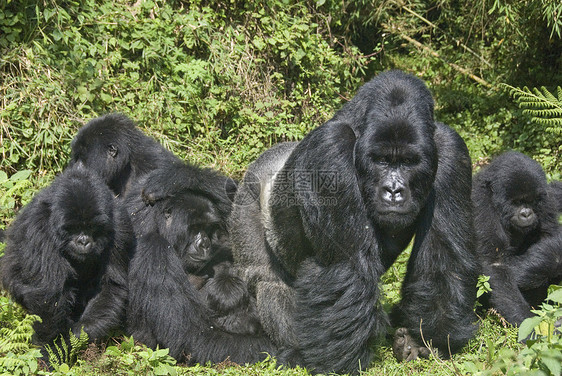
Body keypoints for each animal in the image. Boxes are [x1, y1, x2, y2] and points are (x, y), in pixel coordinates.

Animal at [0, 166, 132, 348]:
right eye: (74, 228)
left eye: (92, 228)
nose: (83, 241)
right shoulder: (38, 225)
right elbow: (47, 295)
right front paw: (51, 347)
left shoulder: (120, 225)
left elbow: (111, 285)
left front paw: (79, 333)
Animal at [228, 70, 476, 374]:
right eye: (382, 160)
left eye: (408, 162)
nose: (393, 191)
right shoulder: (329, 148)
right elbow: (346, 265)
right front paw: (338, 362)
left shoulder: (451, 149)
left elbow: (443, 256)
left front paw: (424, 339)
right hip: (247, 195)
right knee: (266, 279)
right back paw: (296, 351)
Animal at [472, 151, 560, 324]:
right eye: (518, 202)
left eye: (531, 201)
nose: (526, 214)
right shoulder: (481, 204)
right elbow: (495, 263)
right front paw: (527, 321)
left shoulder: (546, 199)